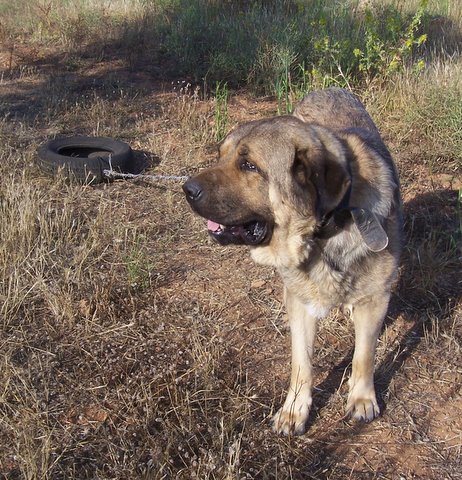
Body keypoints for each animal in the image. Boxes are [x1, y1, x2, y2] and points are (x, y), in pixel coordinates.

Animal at [182, 87, 402, 436]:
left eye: (249, 165)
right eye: (221, 156)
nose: (186, 189)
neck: (325, 229)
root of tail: (328, 88)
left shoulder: (376, 298)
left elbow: (364, 355)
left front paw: (362, 397)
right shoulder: (298, 303)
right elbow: (302, 363)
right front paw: (294, 410)